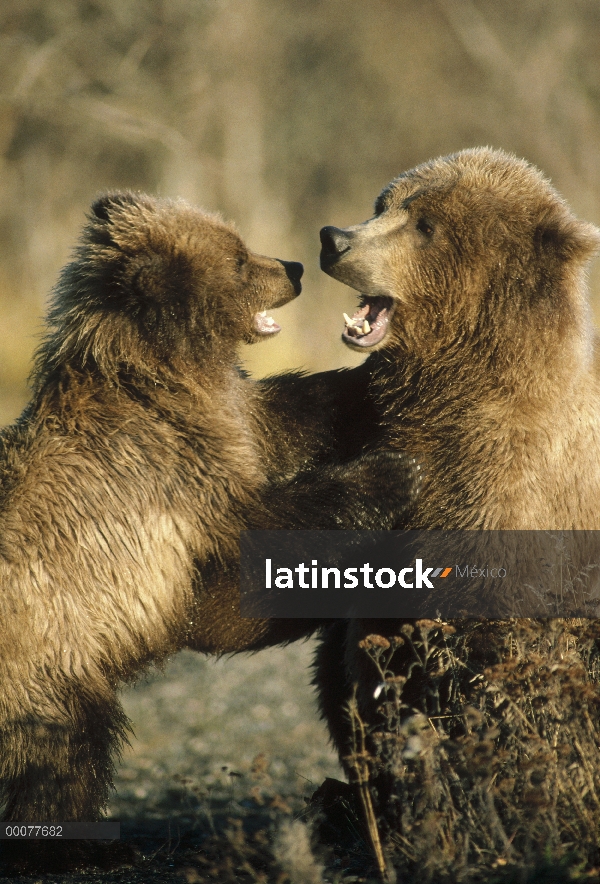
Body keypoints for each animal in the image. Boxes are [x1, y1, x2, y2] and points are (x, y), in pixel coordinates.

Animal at [0, 192, 418, 872]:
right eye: (240, 257)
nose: (293, 265)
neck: (166, 372)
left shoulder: (233, 422)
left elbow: (292, 408)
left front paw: (372, 373)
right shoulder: (171, 479)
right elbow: (254, 552)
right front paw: (391, 470)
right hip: (48, 659)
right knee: (64, 753)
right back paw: (80, 846)